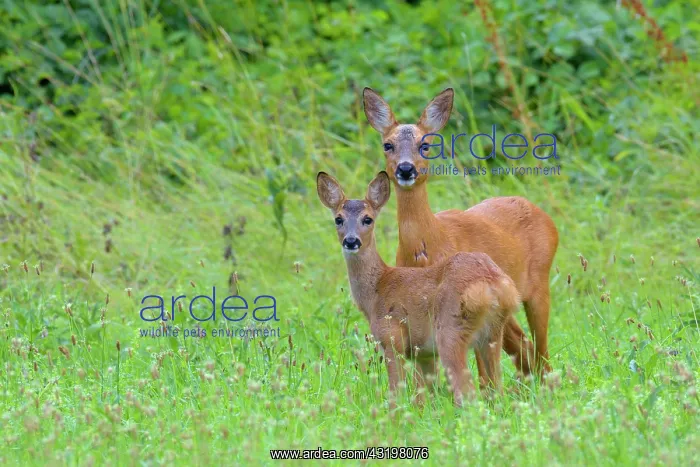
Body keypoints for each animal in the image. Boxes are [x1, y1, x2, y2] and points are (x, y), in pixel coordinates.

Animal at [317, 171, 521, 406]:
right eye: (338, 219)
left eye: (367, 219)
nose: (351, 241)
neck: (376, 291)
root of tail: (493, 283)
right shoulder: (423, 353)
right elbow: (427, 397)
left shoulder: (391, 339)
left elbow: (395, 392)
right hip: (492, 335)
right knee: (497, 391)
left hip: (450, 331)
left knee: (467, 393)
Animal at [362, 88, 559, 380]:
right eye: (388, 144)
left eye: (425, 145)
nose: (406, 169)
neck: (428, 248)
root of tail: (546, 217)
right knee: (523, 345)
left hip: (537, 285)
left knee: (540, 349)